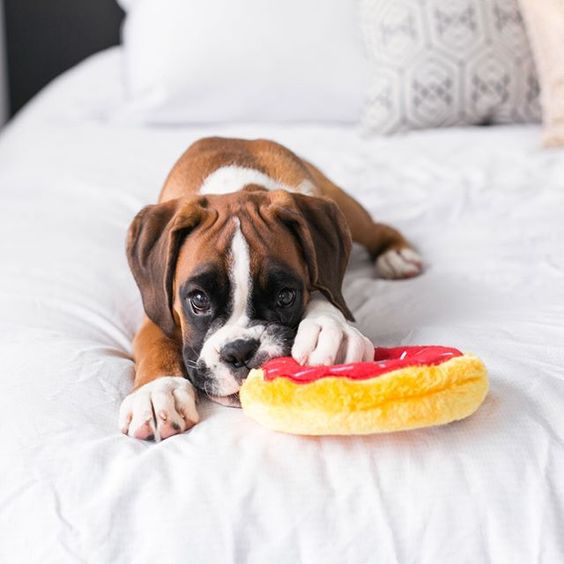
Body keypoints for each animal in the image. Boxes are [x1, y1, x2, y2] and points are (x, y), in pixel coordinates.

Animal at [119, 138, 420, 440]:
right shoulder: (156, 306)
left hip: (345, 209)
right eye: (199, 300)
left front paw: (330, 330)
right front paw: (158, 391)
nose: (240, 352)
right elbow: (156, 343)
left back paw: (396, 254)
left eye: (285, 297)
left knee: (374, 229)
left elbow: (325, 290)